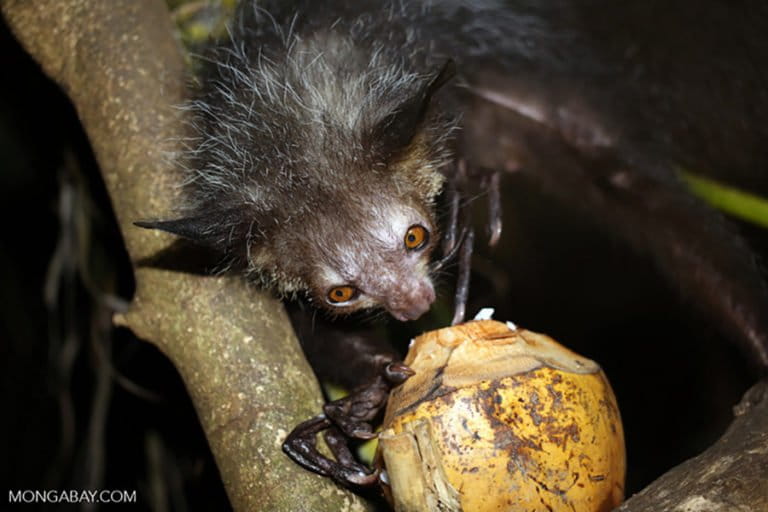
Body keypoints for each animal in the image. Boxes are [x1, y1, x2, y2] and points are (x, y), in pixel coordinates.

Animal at [137, 0, 768, 488]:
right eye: (341, 292)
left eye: (415, 235)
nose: (415, 307)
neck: (286, 114)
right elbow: (298, 331)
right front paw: (364, 393)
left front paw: (466, 194)